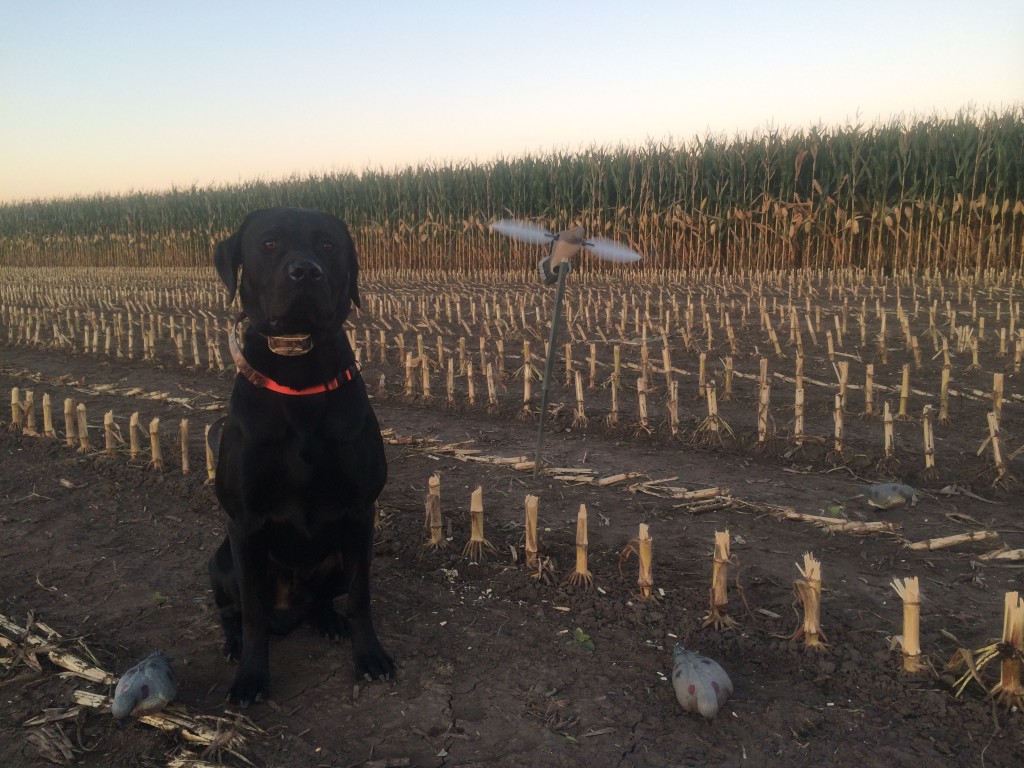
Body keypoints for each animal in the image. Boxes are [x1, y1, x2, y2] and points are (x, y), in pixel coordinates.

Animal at [207, 207, 391, 708]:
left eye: (327, 245)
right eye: (269, 243)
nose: (306, 272)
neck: (298, 365)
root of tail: (290, 611)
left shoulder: (360, 514)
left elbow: (362, 597)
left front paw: (369, 656)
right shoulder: (243, 523)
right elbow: (252, 613)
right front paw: (251, 677)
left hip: (337, 558)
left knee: (326, 599)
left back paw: (328, 621)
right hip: (222, 561)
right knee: (234, 612)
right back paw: (233, 645)